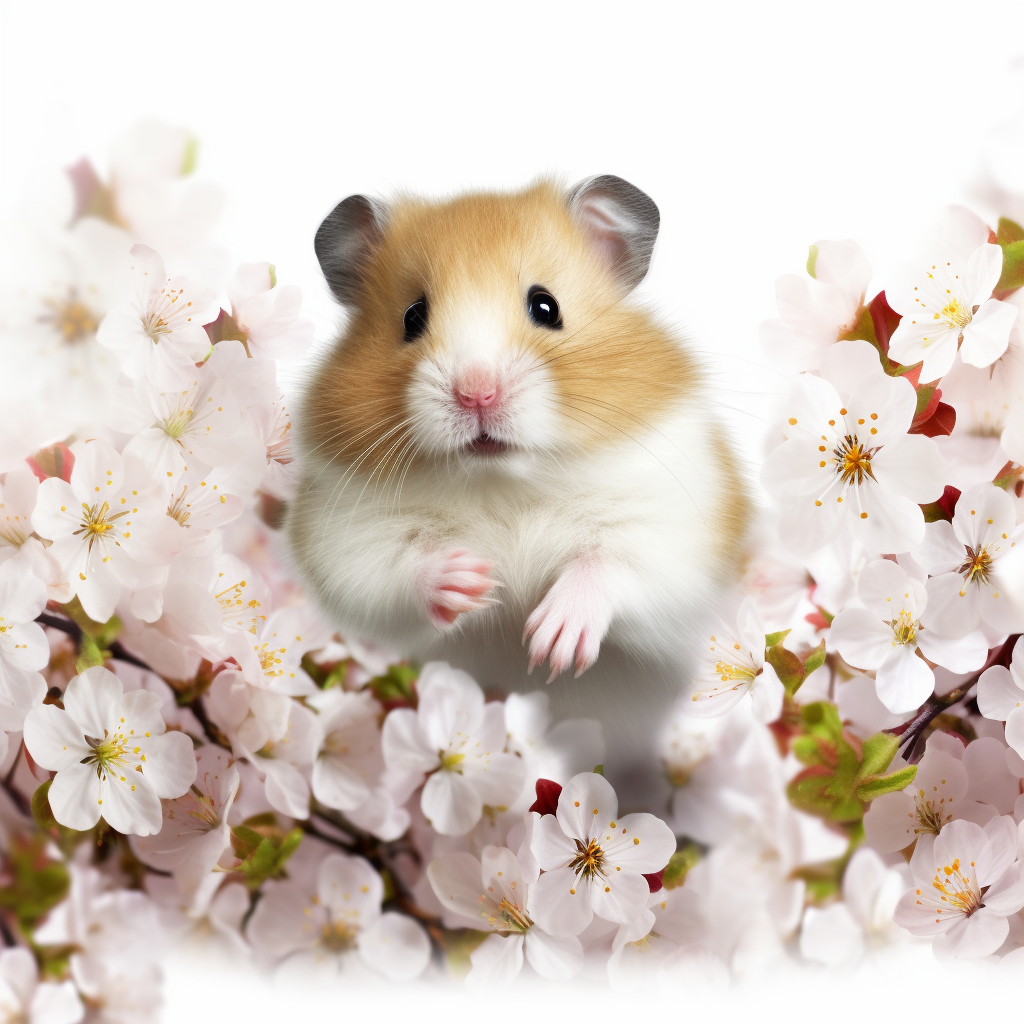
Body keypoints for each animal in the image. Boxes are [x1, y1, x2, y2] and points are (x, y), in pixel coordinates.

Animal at [287, 176, 751, 807]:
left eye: (545, 306)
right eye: (412, 316)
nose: (476, 393)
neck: (504, 482)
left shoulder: (672, 523)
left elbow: (607, 562)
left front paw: (550, 643)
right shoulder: (345, 534)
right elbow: (395, 565)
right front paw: (472, 583)